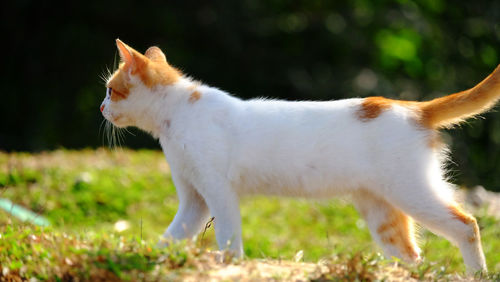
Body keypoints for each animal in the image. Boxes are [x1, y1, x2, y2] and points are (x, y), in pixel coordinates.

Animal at [99, 39, 498, 274]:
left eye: (111, 90)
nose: (101, 108)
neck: (177, 115)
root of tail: (413, 107)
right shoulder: (194, 200)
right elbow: (171, 237)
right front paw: (149, 256)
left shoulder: (219, 193)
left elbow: (229, 238)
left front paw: (231, 266)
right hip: (382, 210)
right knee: (411, 257)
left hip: (411, 191)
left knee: (467, 224)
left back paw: (477, 274)